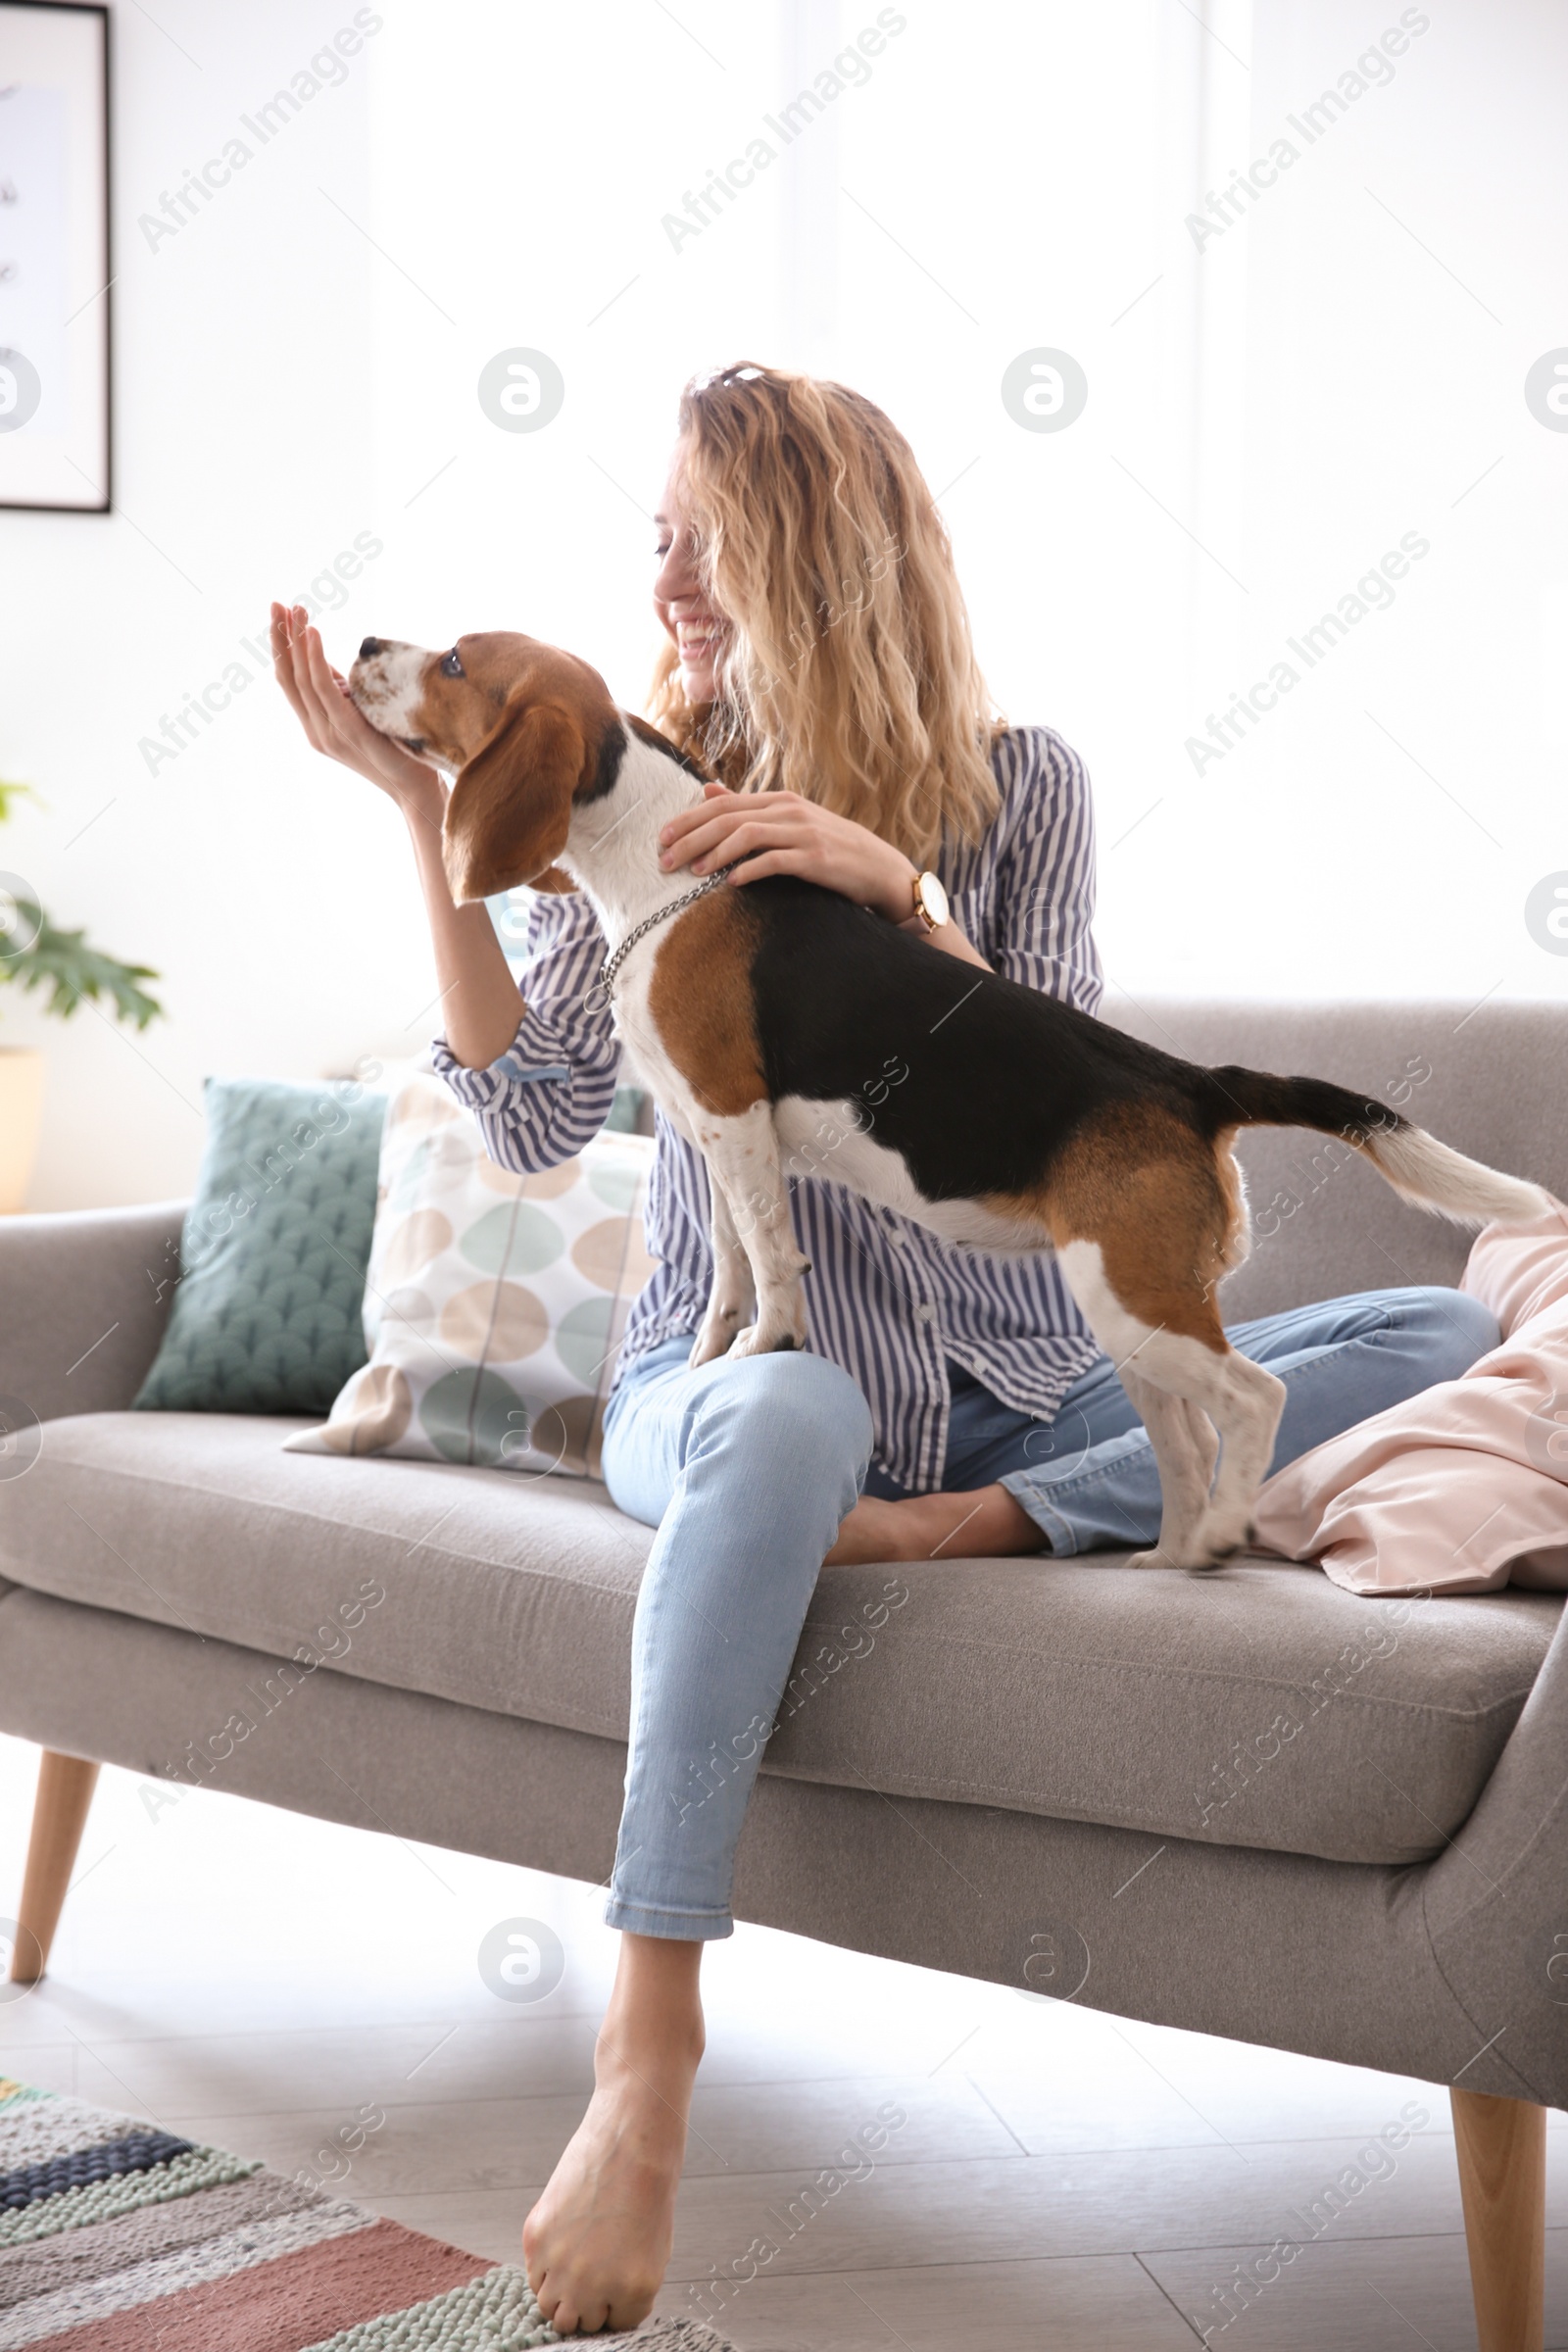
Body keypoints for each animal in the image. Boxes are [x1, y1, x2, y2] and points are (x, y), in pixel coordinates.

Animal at [350, 635, 1551, 1571]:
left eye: (454, 660)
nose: (363, 646)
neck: (656, 867)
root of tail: (1188, 1081)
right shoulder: (706, 1134)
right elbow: (730, 1267)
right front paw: (710, 1361)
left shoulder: (734, 1119)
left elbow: (773, 1264)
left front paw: (767, 1349)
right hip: (1129, 1319)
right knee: (1182, 1442)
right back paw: (1168, 1557)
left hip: (1137, 1303)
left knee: (1254, 1401)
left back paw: (1218, 1535)